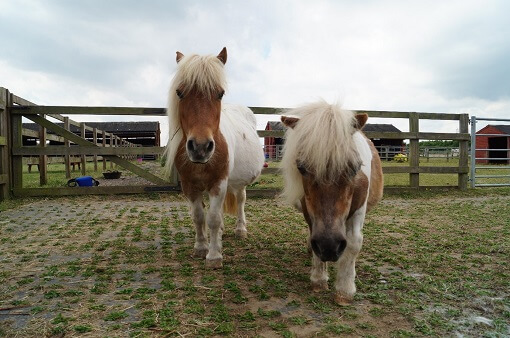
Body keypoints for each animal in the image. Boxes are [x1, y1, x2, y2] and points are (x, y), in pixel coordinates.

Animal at [165, 48, 264, 270]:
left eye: (220, 93)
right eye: (179, 93)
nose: (200, 147)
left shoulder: (218, 183)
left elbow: (213, 218)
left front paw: (214, 256)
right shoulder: (189, 185)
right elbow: (199, 217)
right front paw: (201, 247)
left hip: (237, 183)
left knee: (241, 200)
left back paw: (240, 230)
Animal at [278, 101, 382, 306]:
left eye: (355, 168)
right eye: (301, 167)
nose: (329, 247)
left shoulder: (359, 211)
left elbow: (354, 243)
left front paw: (345, 290)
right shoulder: (309, 212)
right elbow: (313, 236)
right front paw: (319, 279)